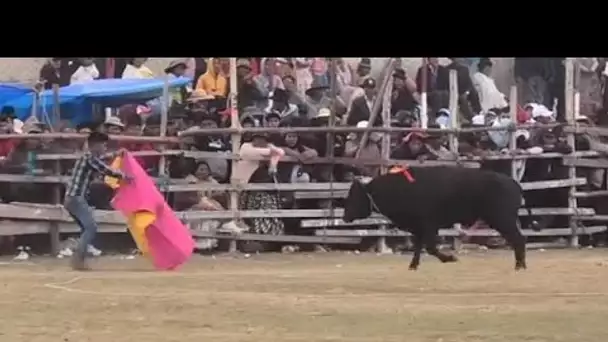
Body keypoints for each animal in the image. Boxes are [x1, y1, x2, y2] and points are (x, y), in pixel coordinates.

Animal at [342, 167, 528, 272]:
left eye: (356, 196)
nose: (344, 216)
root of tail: (513, 183)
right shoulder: (418, 228)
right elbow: (419, 247)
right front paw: (413, 265)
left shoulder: (428, 225)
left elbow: (430, 248)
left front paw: (450, 258)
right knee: (517, 240)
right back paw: (520, 265)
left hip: (502, 220)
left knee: (518, 239)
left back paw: (519, 266)